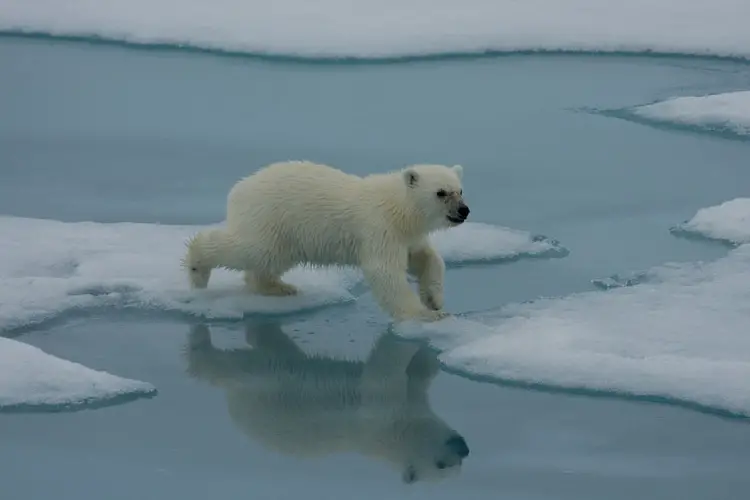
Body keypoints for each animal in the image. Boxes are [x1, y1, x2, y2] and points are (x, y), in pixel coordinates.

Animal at [182, 162, 470, 322]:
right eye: (441, 192)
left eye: (460, 189)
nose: (464, 211)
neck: (397, 207)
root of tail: (238, 189)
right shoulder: (379, 228)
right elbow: (384, 272)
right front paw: (426, 315)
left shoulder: (406, 234)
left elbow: (426, 258)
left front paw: (434, 299)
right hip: (270, 216)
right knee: (252, 250)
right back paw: (197, 268)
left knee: (271, 258)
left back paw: (279, 287)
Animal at [185, 320, 472, 484]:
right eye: (440, 464)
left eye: (457, 467)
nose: (463, 448)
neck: (393, 436)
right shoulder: (380, 409)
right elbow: (385, 366)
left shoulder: (411, 396)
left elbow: (418, 373)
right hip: (263, 384)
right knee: (234, 365)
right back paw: (199, 347)